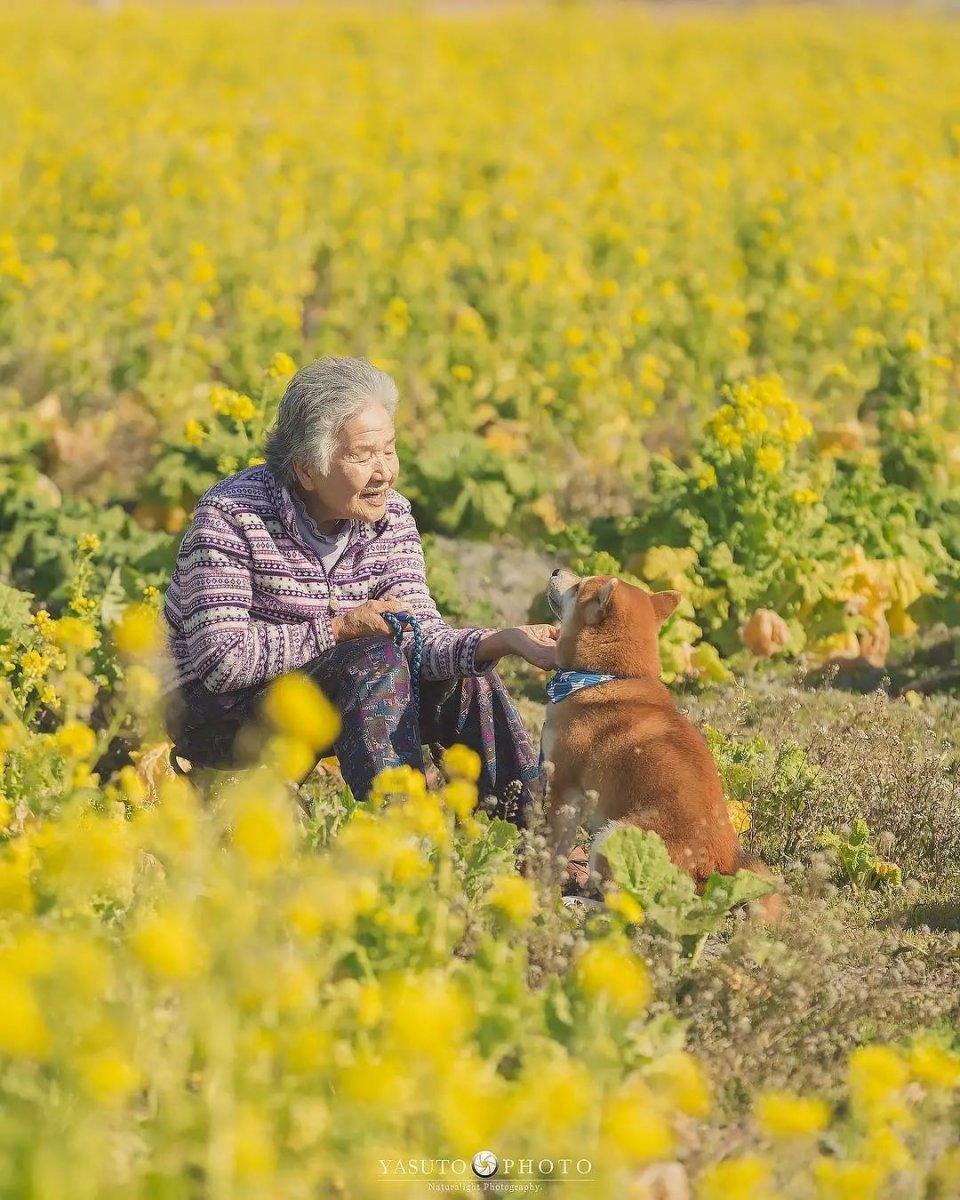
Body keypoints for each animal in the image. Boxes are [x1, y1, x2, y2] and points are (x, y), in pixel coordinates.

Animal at [540, 568, 777, 916]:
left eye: (579, 585)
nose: (557, 570)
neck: (606, 677)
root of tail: (716, 871)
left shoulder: (564, 790)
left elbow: (553, 849)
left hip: (613, 834)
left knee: (625, 907)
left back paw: (578, 902)